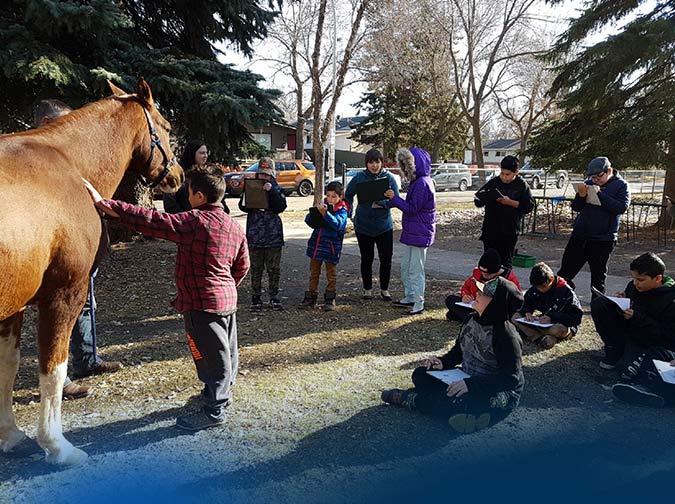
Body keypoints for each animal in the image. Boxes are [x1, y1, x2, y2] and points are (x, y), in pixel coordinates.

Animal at [0, 78, 184, 464]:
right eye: (167, 127)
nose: (178, 175)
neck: (69, 165)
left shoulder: (14, 307)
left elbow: (7, 366)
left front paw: (11, 435)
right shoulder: (64, 294)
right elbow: (53, 370)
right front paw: (57, 445)